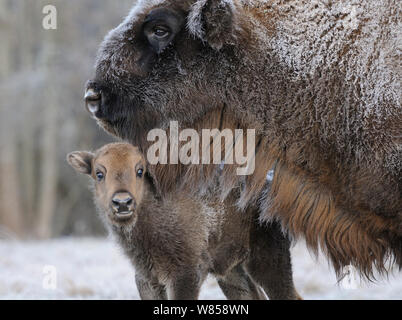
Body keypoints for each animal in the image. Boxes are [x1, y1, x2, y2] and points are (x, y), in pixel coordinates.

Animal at [66, 143, 298, 300]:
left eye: (140, 170)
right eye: (99, 173)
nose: (122, 202)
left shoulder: (185, 274)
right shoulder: (147, 279)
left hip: (267, 262)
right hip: (232, 271)